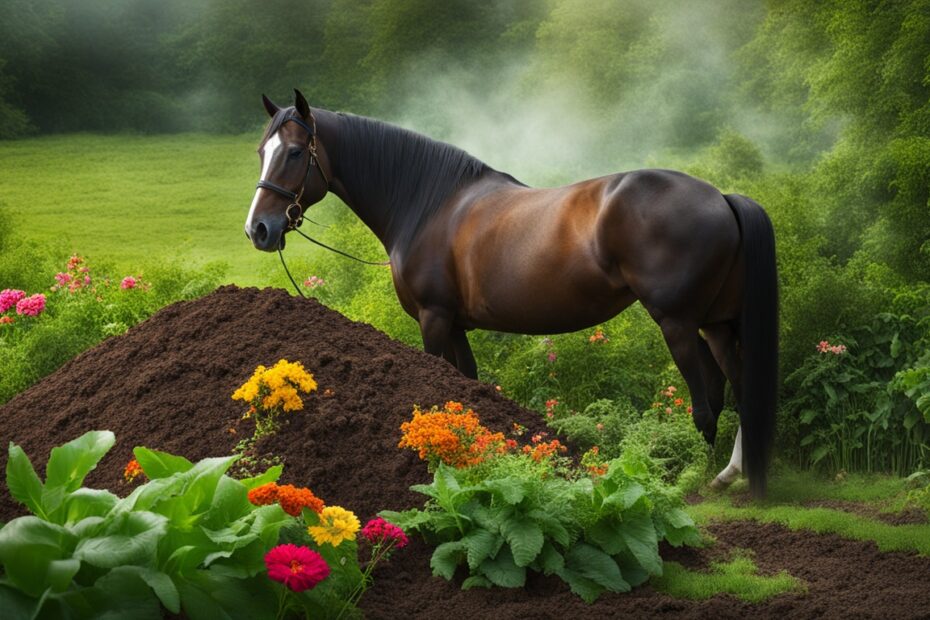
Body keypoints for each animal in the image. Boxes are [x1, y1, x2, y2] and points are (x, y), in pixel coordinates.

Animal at [245, 89, 776, 496]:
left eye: (295, 152)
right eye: (261, 152)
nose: (259, 230)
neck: (427, 202)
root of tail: (721, 197)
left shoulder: (434, 319)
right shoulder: (456, 324)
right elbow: (467, 387)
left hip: (678, 323)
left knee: (706, 402)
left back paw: (695, 478)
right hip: (716, 324)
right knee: (739, 383)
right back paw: (731, 474)